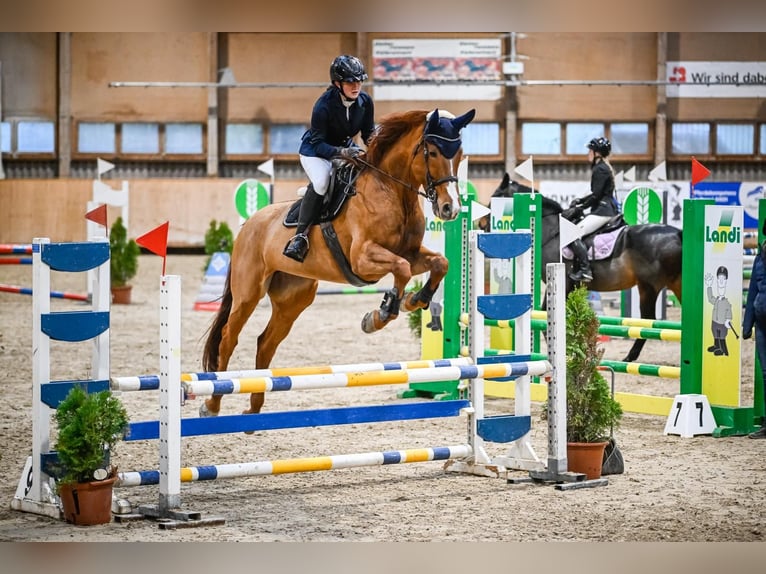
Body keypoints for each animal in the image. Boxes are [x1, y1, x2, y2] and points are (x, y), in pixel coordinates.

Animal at [200, 108, 476, 417]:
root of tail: (249, 224)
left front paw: (414, 300)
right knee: (228, 338)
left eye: (459, 153)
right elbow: (402, 270)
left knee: (265, 343)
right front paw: (382, 313)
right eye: (433, 152)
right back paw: (212, 404)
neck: (391, 190)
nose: (450, 209)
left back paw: (255, 407)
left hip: (293, 299)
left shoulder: (411, 252)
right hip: (248, 293)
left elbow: (440, 263)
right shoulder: (363, 258)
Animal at [481, 173, 683, 363]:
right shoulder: (572, 287)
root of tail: (678, 233)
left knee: (649, 320)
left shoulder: (563, 283)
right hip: (675, 285)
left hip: (648, 287)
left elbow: (547, 313)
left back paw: (630, 357)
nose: (482, 224)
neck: (551, 231)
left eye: (497, 195)